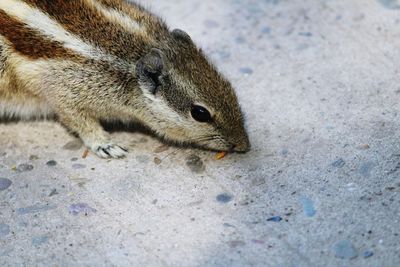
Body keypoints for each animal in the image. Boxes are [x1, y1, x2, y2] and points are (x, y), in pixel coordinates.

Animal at [0, 0, 250, 159]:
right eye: (200, 113)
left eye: (230, 87)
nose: (244, 145)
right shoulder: (64, 89)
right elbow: (77, 119)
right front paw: (105, 144)